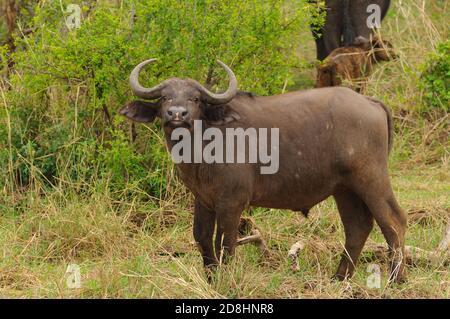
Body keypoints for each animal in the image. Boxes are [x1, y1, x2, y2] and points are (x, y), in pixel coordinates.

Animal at [119, 58, 408, 284]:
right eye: (164, 96)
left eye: (196, 98)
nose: (176, 114)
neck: (202, 148)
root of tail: (370, 101)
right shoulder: (203, 200)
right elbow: (201, 237)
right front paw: (211, 278)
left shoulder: (232, 203)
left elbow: (225, 242)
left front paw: (224, 280)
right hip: (344, 189)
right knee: (358, 226)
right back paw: (339, 277)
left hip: (371, 178)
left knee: (394, 221)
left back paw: (396, 278)